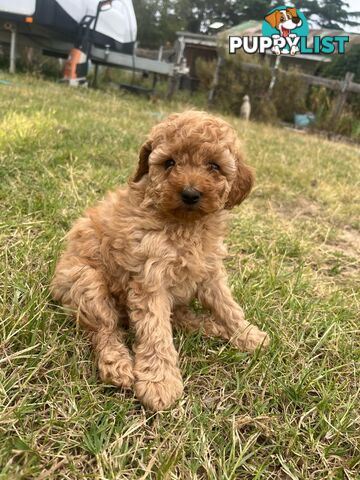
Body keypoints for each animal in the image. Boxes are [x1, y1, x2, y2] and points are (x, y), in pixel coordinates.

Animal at [51, 110, 270, 410]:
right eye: (169, 163)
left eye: (214, 166)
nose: (190, 194)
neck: (186, 225)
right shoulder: (150, 278)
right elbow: (156, 332)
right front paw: (160, 382)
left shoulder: (210, 270)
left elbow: (228, 306)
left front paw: (248, 335)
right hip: (85, 282)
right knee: (105, 328)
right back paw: (117, 365)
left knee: (180, 318)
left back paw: (212, 326)